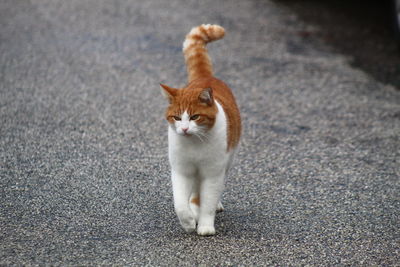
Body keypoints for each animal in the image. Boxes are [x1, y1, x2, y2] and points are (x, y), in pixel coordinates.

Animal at [160, 24, 241, 236]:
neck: (195, 143)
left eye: (195, 117)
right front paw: (188, 221)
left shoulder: (212, 173)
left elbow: (208, 202)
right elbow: (180, 203)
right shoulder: (182, 171)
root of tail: (206, 77)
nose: (184, 128)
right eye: (177, 117)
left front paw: (205, 225)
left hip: (227, 161)